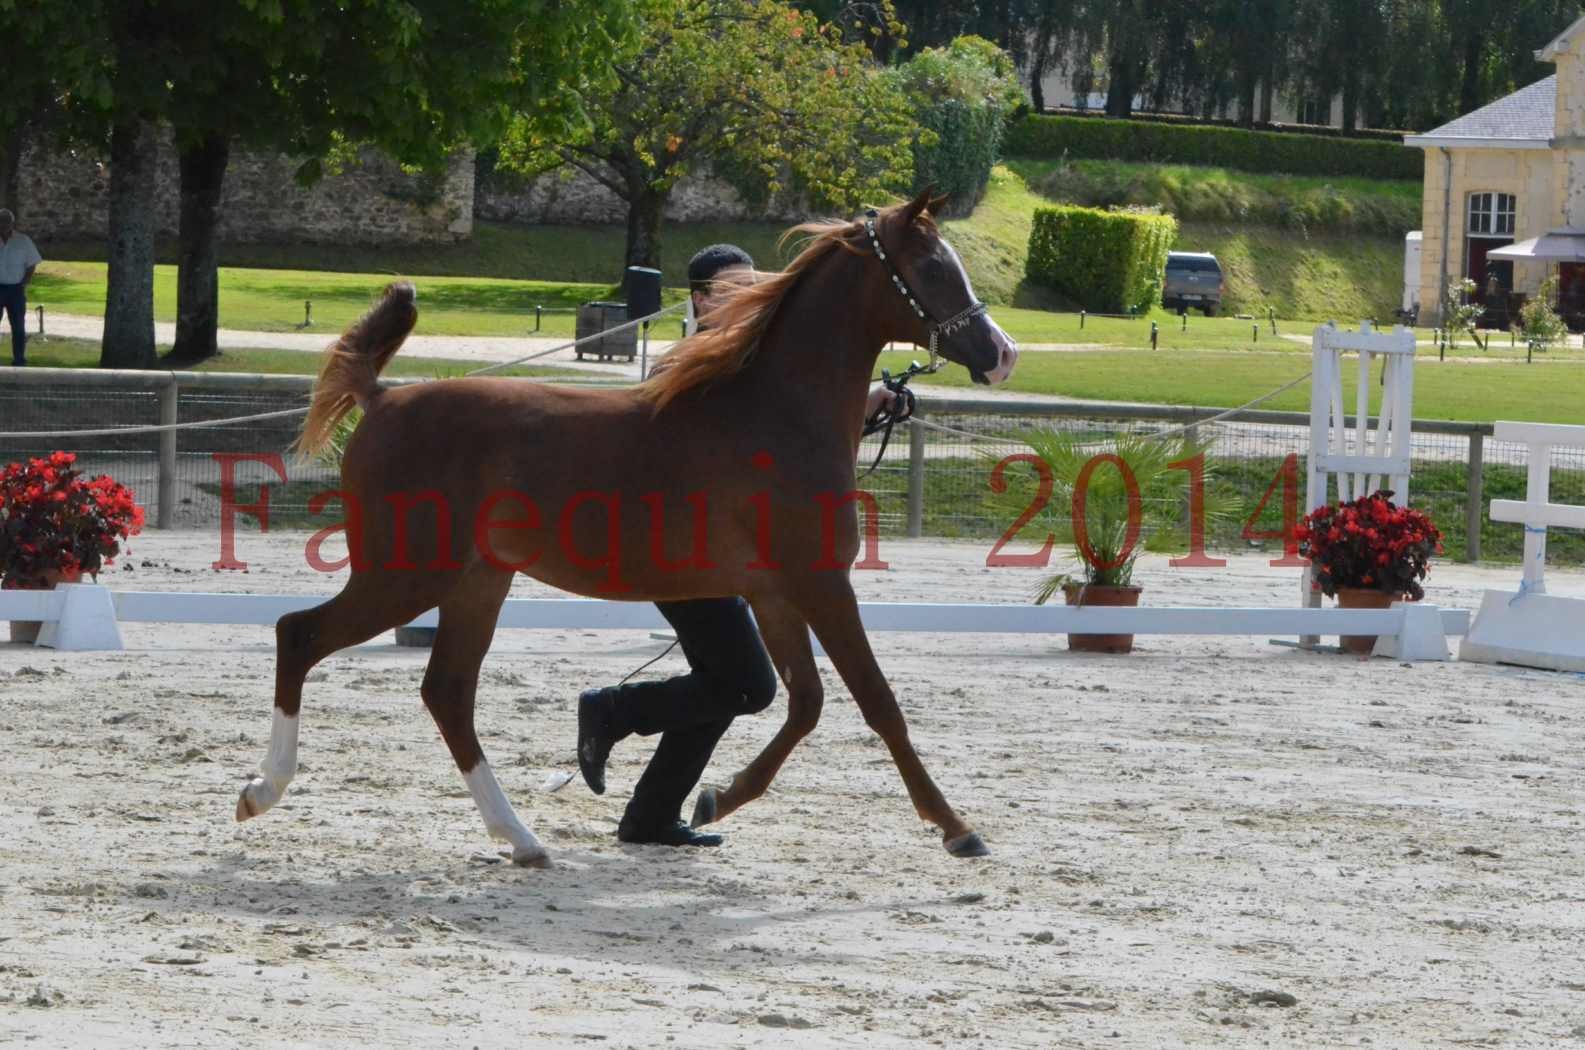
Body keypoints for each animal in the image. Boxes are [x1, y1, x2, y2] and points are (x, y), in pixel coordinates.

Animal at [237, 193, 1014, 869]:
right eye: (932, 267)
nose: (1000, 353)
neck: (773, 415)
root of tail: (382, 398)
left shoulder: (773, 594)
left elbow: (800, 703)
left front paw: (715, 799)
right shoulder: (821, 584)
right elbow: (877, 703)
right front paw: (957, 829)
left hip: (476, 583)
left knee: (447, 693)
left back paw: (522, 838)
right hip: (405, 575)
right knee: (300, 635)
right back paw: (260, 792)